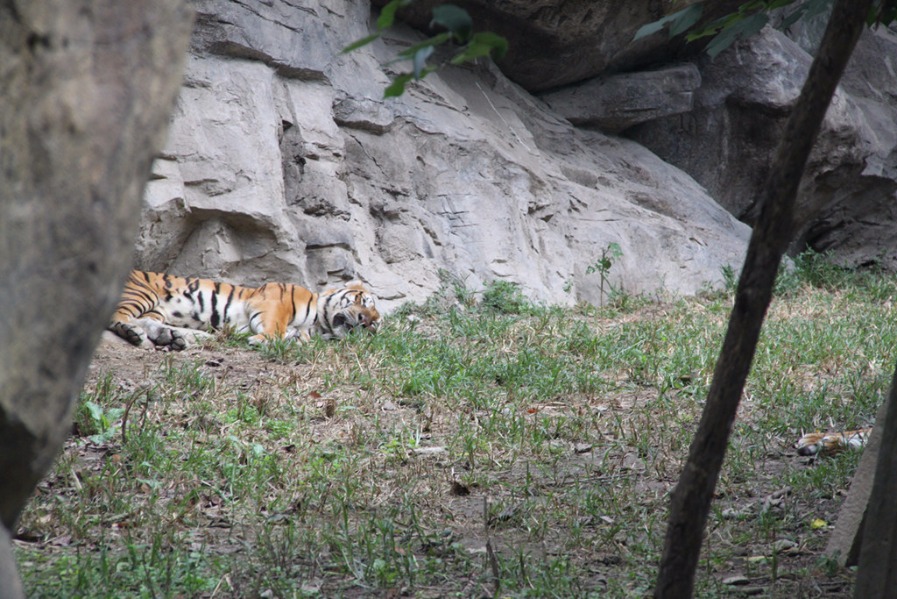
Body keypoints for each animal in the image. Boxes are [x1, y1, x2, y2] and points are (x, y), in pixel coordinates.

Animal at [108, 270, 381, 350]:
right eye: (364, 302)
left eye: (374, 326)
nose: (363, 321)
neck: (317, 325)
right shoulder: (273, 302)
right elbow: (275, 328)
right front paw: (260, 339)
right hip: (143, 292)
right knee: (117, 316)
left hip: (156, 309)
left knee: (147, 322)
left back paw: (176, 337)